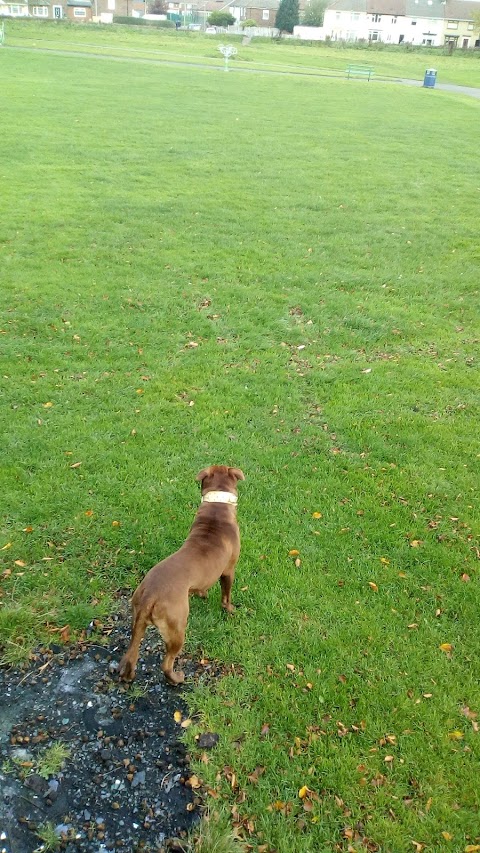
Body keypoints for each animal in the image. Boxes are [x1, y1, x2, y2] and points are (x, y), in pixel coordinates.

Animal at [116, 466, 244, 684]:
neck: (216, 509)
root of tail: (150, 595)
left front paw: (202, 594)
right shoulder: (228, 571)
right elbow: (226, 595)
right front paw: (230, 610)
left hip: (137, 621)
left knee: (130, 655)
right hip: (177, 628)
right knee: (166, 663)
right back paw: (176, 678)